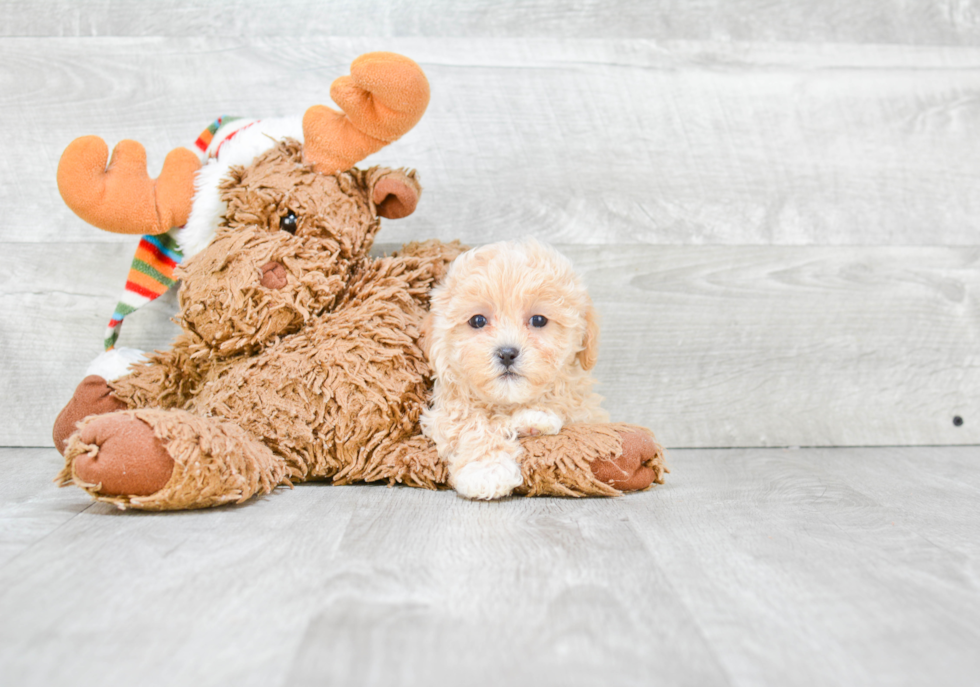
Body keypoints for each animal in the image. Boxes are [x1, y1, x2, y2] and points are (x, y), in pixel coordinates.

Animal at [424, 241, 608, 500]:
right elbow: (471, 423)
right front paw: (487, 470)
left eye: (539, 320)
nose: (507, 353)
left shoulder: (586, 413)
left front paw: (535, 417)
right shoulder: (447, 410)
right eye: (478, 321)